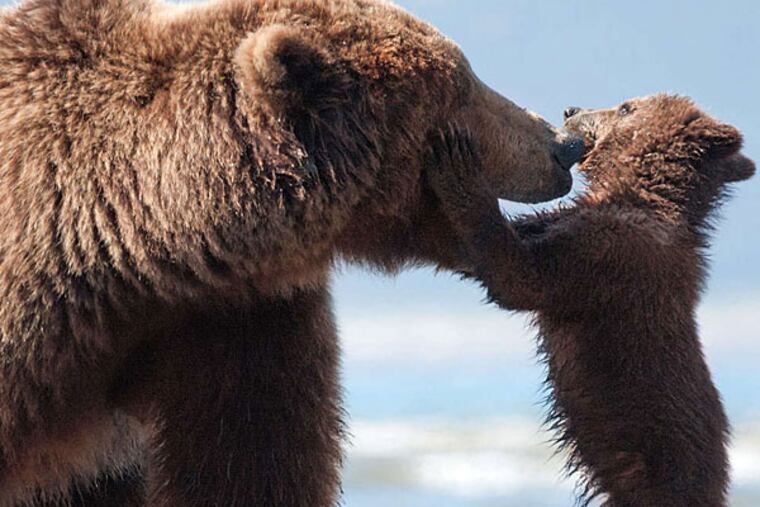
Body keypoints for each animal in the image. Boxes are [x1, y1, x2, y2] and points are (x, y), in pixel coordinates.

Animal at [428, 95, 755, 506]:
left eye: (627, 107)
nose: (571, 110)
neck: (642, 195)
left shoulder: (610, 257)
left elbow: (522, 278)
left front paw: (460, 165)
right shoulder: (573, 223)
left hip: (660, 465)